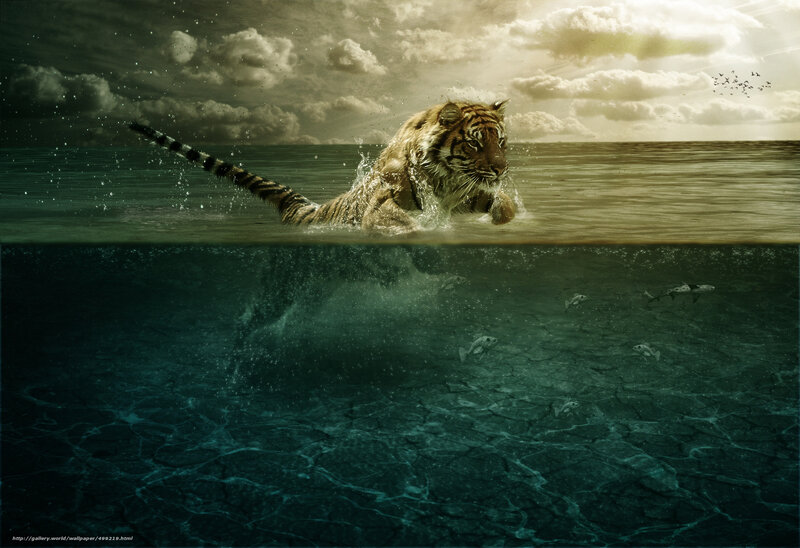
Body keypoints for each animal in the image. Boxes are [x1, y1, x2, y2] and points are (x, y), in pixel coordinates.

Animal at [129, 100, 517, 234]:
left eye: (500, 141)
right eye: (474, 143)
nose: (501, 170)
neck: (446, 181)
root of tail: (303, 208)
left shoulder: (467, 195)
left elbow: (504, 205)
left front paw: (502, 218)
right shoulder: (384, 203)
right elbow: (402, 223)